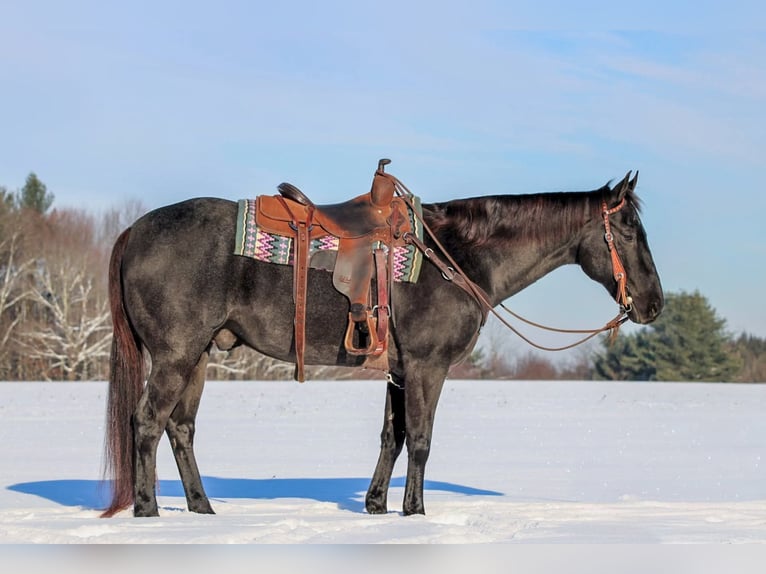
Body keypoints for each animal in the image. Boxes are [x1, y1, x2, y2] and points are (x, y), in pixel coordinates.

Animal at [100, 169, 663, 517]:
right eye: (629, 230)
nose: (654, 304)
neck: (456, 255)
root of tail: (134, 231)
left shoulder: (399, 369)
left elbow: (392, 436)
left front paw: (376, 505)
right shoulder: (427, 366)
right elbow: (421, 439)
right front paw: (416, 511)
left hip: (196, 356)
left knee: (181, 429)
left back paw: (203, 509)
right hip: (174, 355)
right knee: (147, 423)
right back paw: (149, 510)